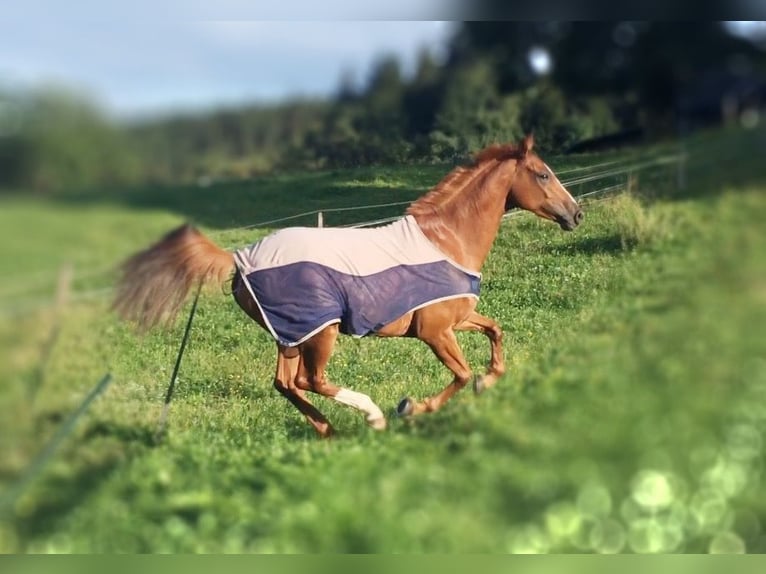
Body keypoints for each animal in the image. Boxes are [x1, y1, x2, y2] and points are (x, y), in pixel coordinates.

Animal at [113, 134, 582, 437]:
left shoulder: (458, 318)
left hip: (291, 334)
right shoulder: (435, 331)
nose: (576, 214)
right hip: (321, 332)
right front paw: (411, 407)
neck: (447, 239)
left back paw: (327, 430)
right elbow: (462, 374)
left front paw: (491, 379)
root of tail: (239, 257)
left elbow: (495, 331)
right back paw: (372, 416)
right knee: (311, 380)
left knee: (286, 383)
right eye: (543, 174)